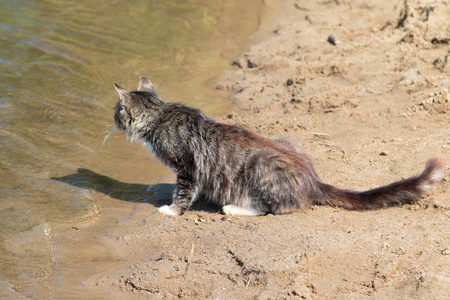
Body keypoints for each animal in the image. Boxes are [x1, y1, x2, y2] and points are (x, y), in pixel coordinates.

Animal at [112, 77, 442, 216]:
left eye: (117, 112)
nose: (112, 120)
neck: (161, 114)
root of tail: (313, 179)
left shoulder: (188, 167)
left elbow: (182, 193)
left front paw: (172, 210)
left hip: (259, 166)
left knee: (275, 208)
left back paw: (234, 208)